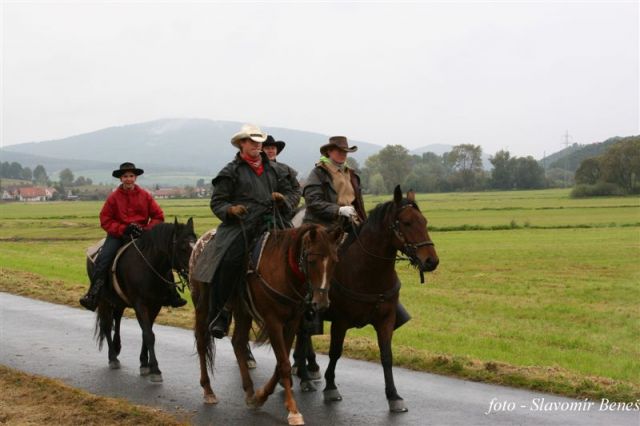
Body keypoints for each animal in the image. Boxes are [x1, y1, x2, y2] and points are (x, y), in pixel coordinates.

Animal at [89, 218, 196, 382]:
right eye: (183, 247)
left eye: (196, 242)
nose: (195, 271)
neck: (148, 266)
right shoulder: (140, 304)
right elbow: (148, 335)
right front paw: (155, 369)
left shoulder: (155, 305)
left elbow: (147, 332)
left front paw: (145, 363)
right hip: (103, 300)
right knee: (106, 326)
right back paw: (113, 357)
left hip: (119, 301)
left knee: (117, 320)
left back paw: (117, 347)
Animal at [188, 225, 342, 424]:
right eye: (312, 260)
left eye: (334, 262)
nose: (321, 303)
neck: (284, 270)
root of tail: (200, 242)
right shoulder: (273, 321)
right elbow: (283, 364)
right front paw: (293, 411)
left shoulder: (291, 323)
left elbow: (281, 364)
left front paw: (261, 396)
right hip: (202, 305)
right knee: (201, 343)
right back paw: (208, 390)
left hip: (243, 311)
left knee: (238, 342)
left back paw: (250, 392)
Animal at [292, 186, 438, 412]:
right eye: (406, 223)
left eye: (424, 221)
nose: (431, 261)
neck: (368, 270)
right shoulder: (340, 321)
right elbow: (335, 352)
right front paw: (331, 387)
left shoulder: (386, 320)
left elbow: (386, 356)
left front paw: (393, 396)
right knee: (303, 335)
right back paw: (305, 375)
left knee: (303, 336)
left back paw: (305, 371)